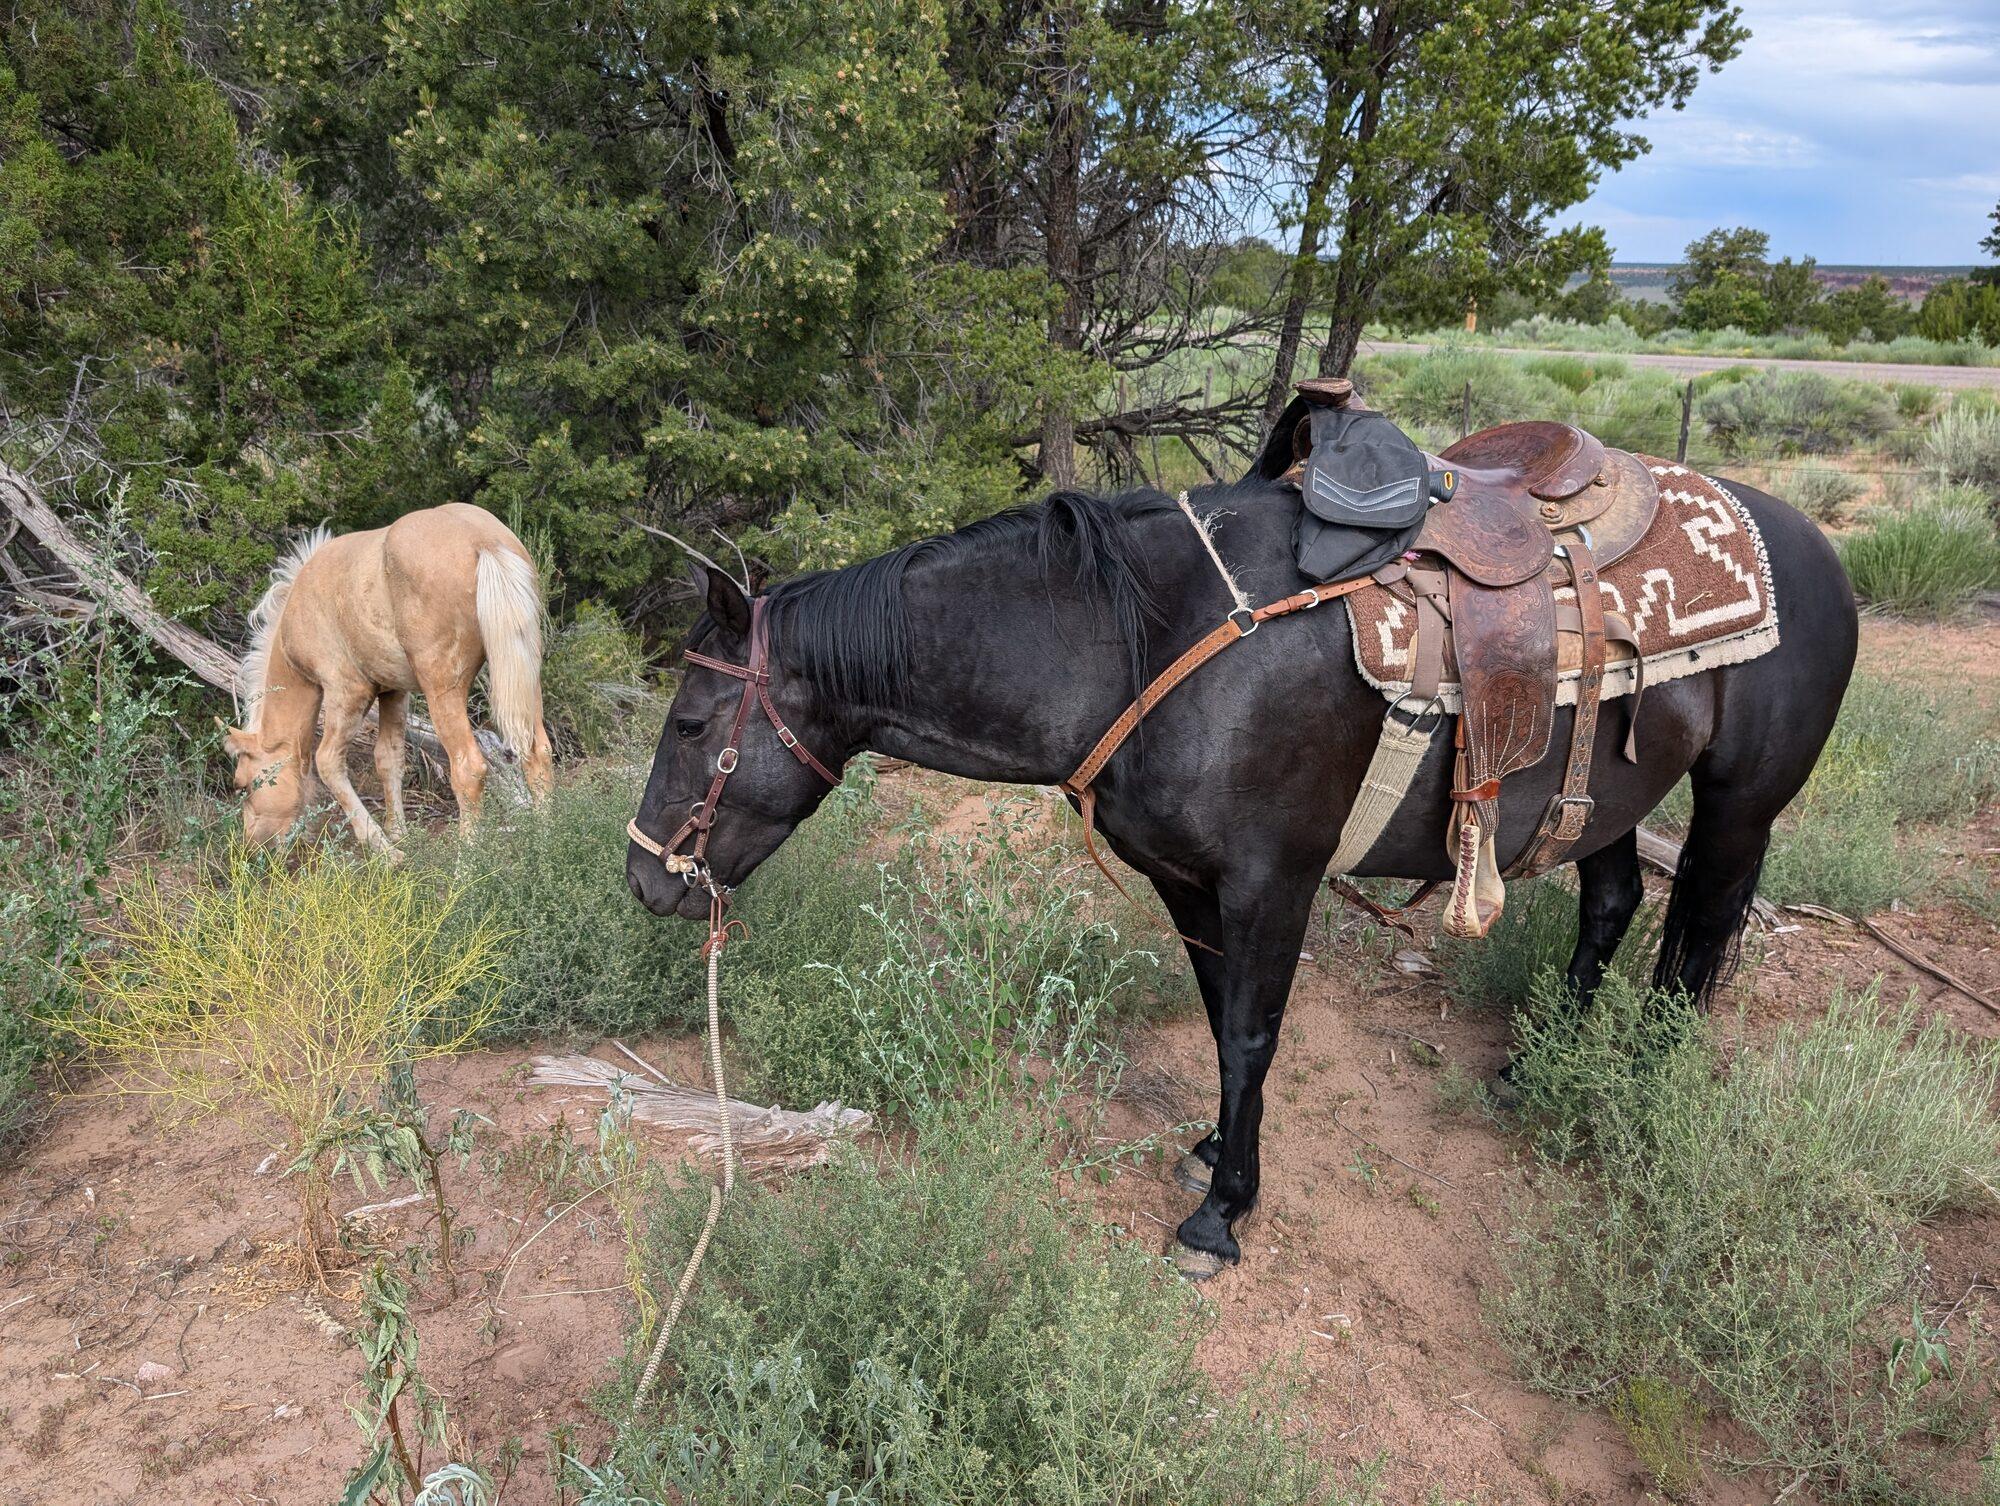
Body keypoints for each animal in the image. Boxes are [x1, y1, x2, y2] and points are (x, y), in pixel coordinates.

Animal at [222, 502, 556, 850]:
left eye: (243, 785)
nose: (251, 845)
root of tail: (484, 541)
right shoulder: (393, 692)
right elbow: (388, 758)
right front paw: (397, 833)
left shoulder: (347, 692)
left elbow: (328, 762)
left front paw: (382, 847)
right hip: (525, 678)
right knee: (538, 754)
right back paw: (547, 842)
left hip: (443, 690)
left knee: (469, 769)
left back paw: (466, 859)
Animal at [626, 467, 1855, 1276]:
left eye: (689, 724)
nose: (646, 881)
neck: (1151, 642)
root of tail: (1816, 552)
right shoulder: (1187, 881)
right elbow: (1222, 1023)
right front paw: (1220, 1152)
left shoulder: (1274, 882)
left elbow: (1256, 1033)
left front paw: (1222, 1216)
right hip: (1605, 804)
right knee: (1613, 905)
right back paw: (1532, 1070)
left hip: (1739, 807)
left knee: (1701, 937)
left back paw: (1633, 1088)